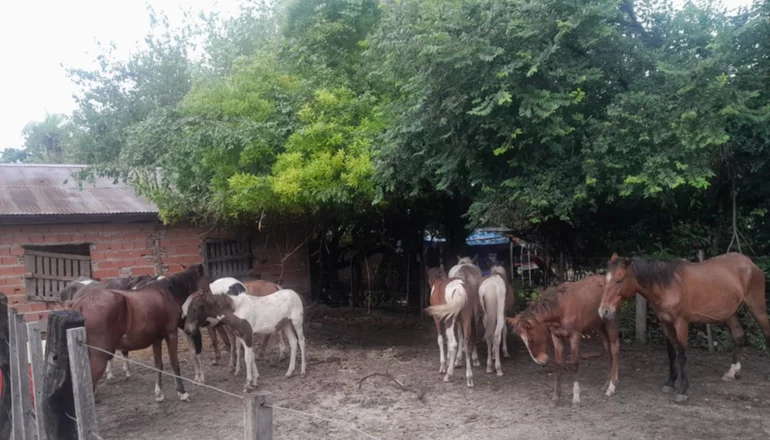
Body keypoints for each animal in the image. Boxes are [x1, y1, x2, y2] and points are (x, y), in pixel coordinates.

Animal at [67, 264, 207, 402]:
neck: (166, 293)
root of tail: (80, 304)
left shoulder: (157, 339)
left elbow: (158, 364)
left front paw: (159, 393)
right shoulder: (171, 334)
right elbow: (174, 363)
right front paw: (182, 393)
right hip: (99, 355)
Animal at [508, 276, 620, 406]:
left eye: (531, 338)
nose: (540, 361)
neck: (561, 310)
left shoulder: (575, 336)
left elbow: (574, 364)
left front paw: (576, 397)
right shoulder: (556, 336)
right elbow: (558, 364)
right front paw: (556, 396)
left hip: (611, 322)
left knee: (614, 349)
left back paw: (612, 386)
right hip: (599, 326)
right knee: (609, 350)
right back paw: (607, 383)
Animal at [596, 253, 764, 404]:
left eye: (619, 280)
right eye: (606, 280)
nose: (604, 311)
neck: (668, 286)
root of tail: (750, 263)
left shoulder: (681, 323)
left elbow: (682, 356)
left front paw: (682, 390)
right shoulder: (666, 323)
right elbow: (672, 354)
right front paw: (670, 383)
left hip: (757, 308)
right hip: (730, 314)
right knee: (738, 335)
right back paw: (732, 372)